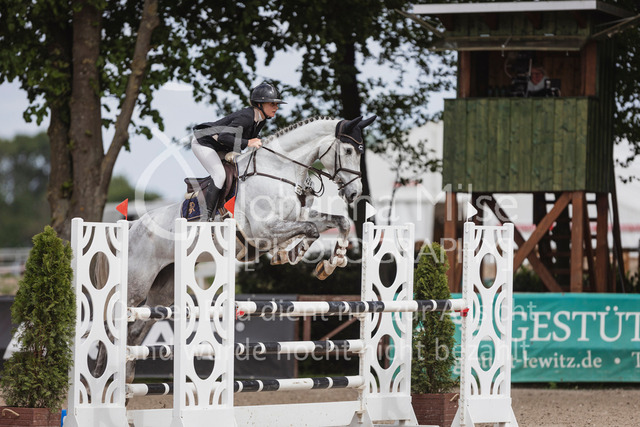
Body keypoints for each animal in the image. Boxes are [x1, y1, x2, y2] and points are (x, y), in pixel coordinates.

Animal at [99, 115, 376, 383]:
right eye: (349, 150)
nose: (355, 193)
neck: (279, 170)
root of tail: (132, 226)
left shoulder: (298, 217)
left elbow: (339, 222)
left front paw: (330, 263)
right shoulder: (264, 231)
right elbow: (310, 230)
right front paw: (288, 254)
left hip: (164, 291)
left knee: (136, 330)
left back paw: (126, 380)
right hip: (136, 285)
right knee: (113, 323)